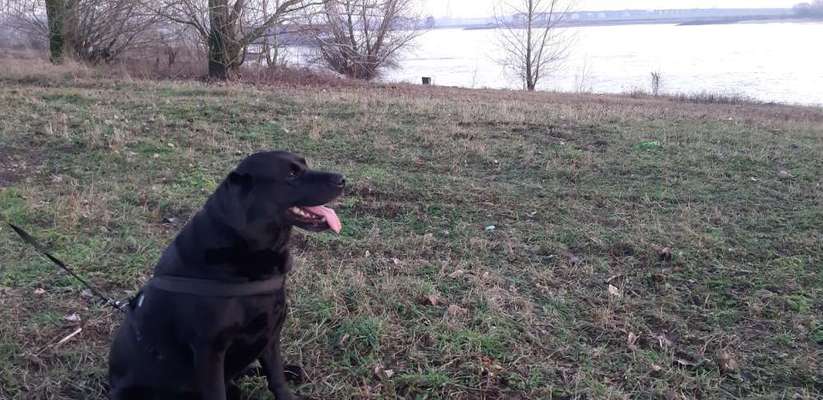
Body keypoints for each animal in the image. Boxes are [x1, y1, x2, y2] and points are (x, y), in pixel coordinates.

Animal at [107, 151, 344, 400]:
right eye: (291, 174)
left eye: (304, 165)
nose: (342, 179)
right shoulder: (210, 350)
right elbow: (217, 392)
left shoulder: (271, 333)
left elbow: (276, 378)